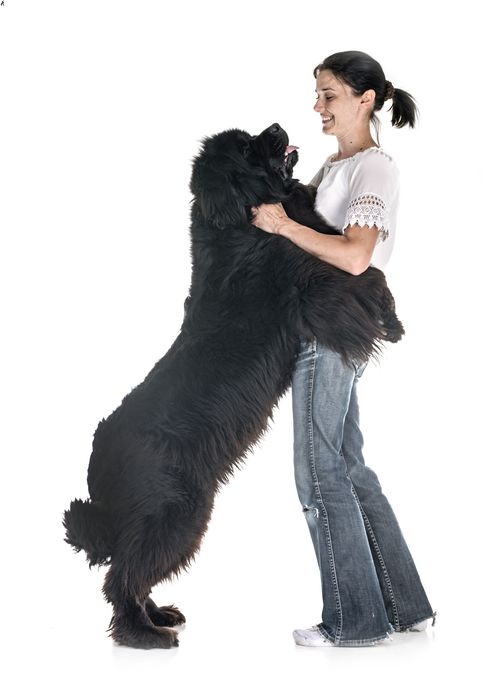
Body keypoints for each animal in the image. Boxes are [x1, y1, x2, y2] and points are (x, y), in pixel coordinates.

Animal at [63, 120, 406, 648]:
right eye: (246, 148)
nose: (277, 127)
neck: (243, 219)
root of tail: (98, 464)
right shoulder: (310, 285)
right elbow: (362, 277)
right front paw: (389, 323)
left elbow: (369, 272)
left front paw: (392, 320)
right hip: (175, 512)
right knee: (122, 577)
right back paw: (145, 635)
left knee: (132, 570)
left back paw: (160, 615)